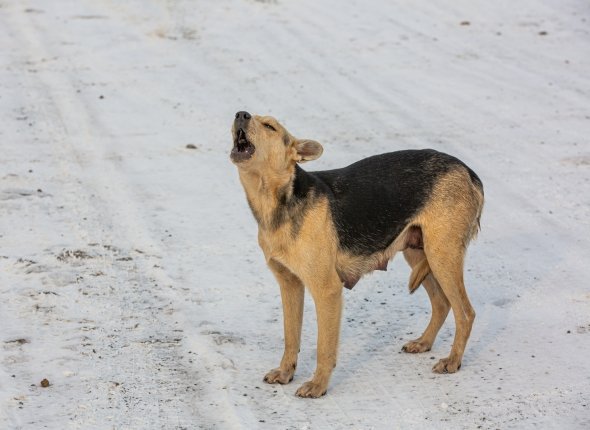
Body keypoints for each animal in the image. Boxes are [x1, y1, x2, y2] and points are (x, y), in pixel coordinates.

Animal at [231, 110, 486, 396]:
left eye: (269, 126)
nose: (241, 114)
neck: (277, 201)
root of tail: (468, 171)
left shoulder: (327, 290)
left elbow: (324, 347)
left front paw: (318, 385)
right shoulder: (290, 285)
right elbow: (291, 336)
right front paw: (286, 373)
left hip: (442, 256)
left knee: (465, 313)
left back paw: (452, 361)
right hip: (420, 253)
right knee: (442, 303)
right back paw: (423, 343)